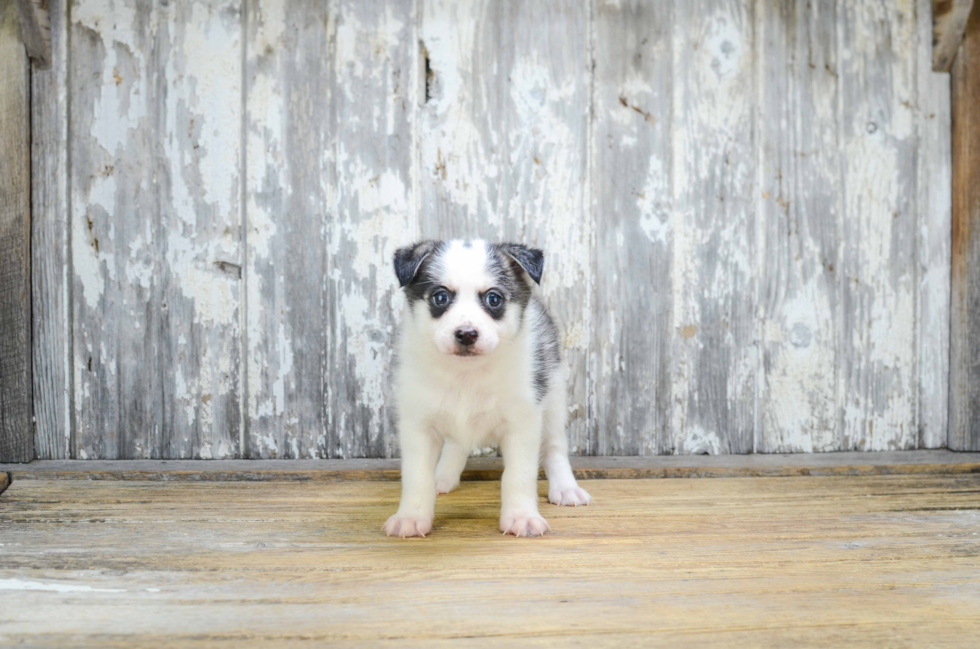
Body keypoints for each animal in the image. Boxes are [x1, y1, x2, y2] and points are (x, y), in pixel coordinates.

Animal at [384, 238, 588, 536]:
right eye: (440, 297)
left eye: (494, 299)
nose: (467, 334)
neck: (466, 375)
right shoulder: (417, 425)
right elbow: (416, 476)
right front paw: (411, 516)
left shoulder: (522, 423)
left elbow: (518, 475)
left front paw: (521, 516)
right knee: (456, 445)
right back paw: (443, 476)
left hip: (553, 398)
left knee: (555, 446)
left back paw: (565, 488)